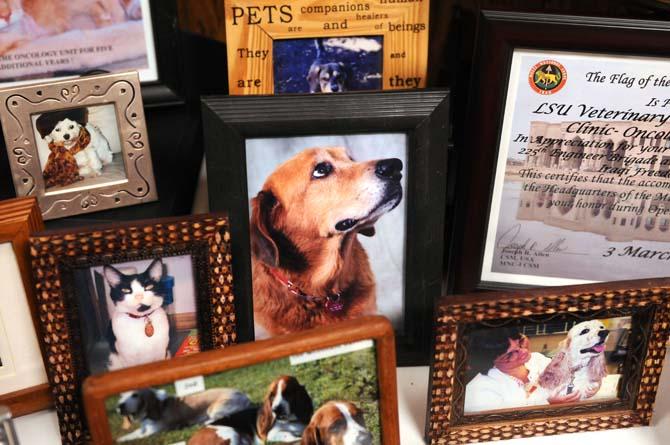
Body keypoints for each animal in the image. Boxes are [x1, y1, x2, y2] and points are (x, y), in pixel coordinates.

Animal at [117, 386, 253, 440]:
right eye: (121, 395)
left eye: (135, 395)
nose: (120, 406)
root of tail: (244, 396)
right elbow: (134, 433)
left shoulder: (152, 433)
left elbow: (134, 436)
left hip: (213, 409)